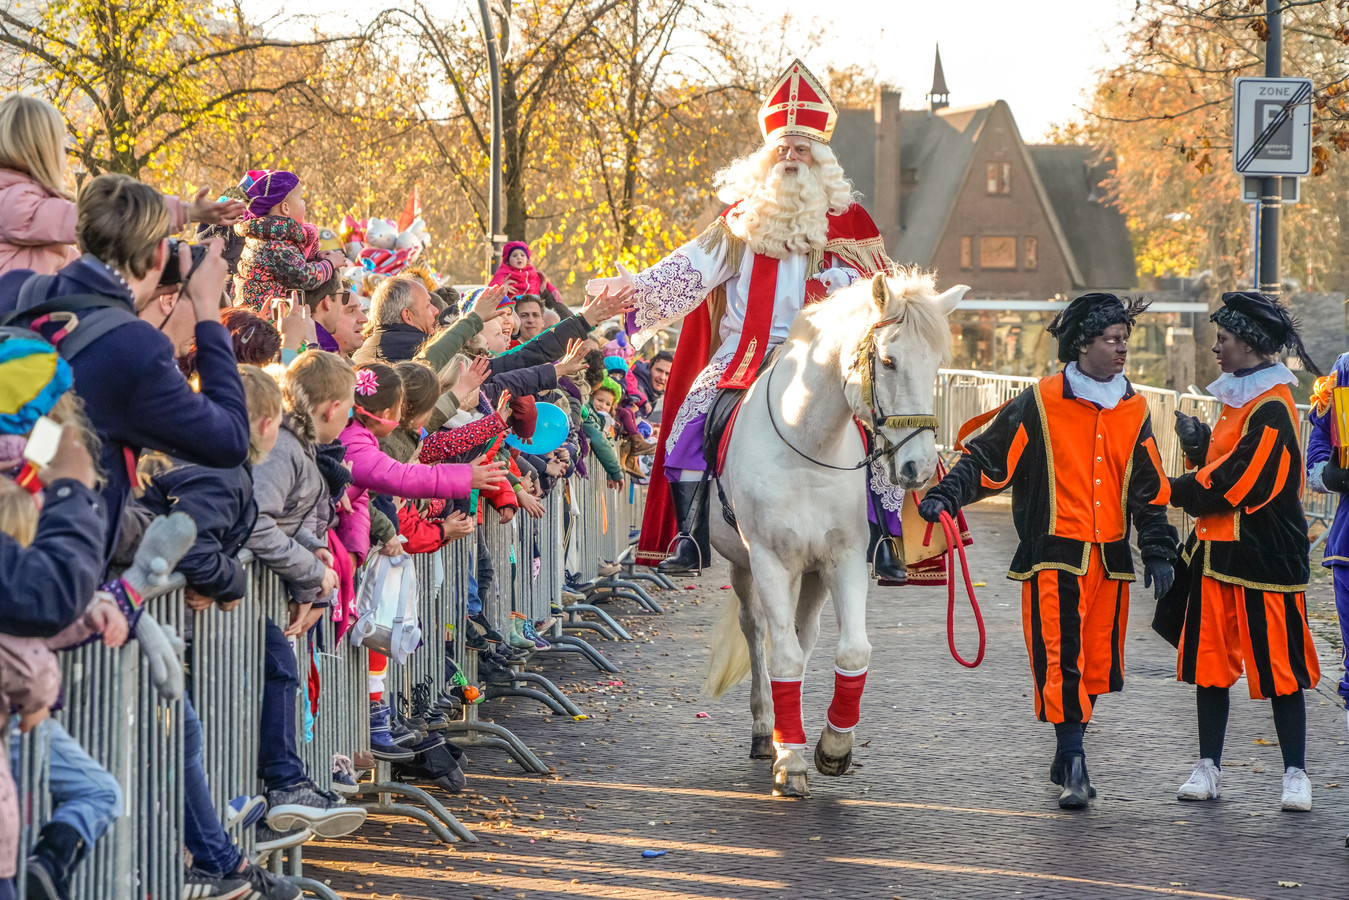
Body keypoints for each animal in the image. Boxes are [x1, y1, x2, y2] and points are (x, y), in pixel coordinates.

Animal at [701, 267, 965, 793]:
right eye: (888, 361)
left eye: (936, 365)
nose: (920, 468)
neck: (805, 446)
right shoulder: (768, 560)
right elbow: (781, 656)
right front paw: (791, 761)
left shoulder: (841, 559)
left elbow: (851, 651)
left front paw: (833, 747)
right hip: (743, 568)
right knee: (757, 634)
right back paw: (767, 732)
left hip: (812, 575)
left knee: (803, 640)